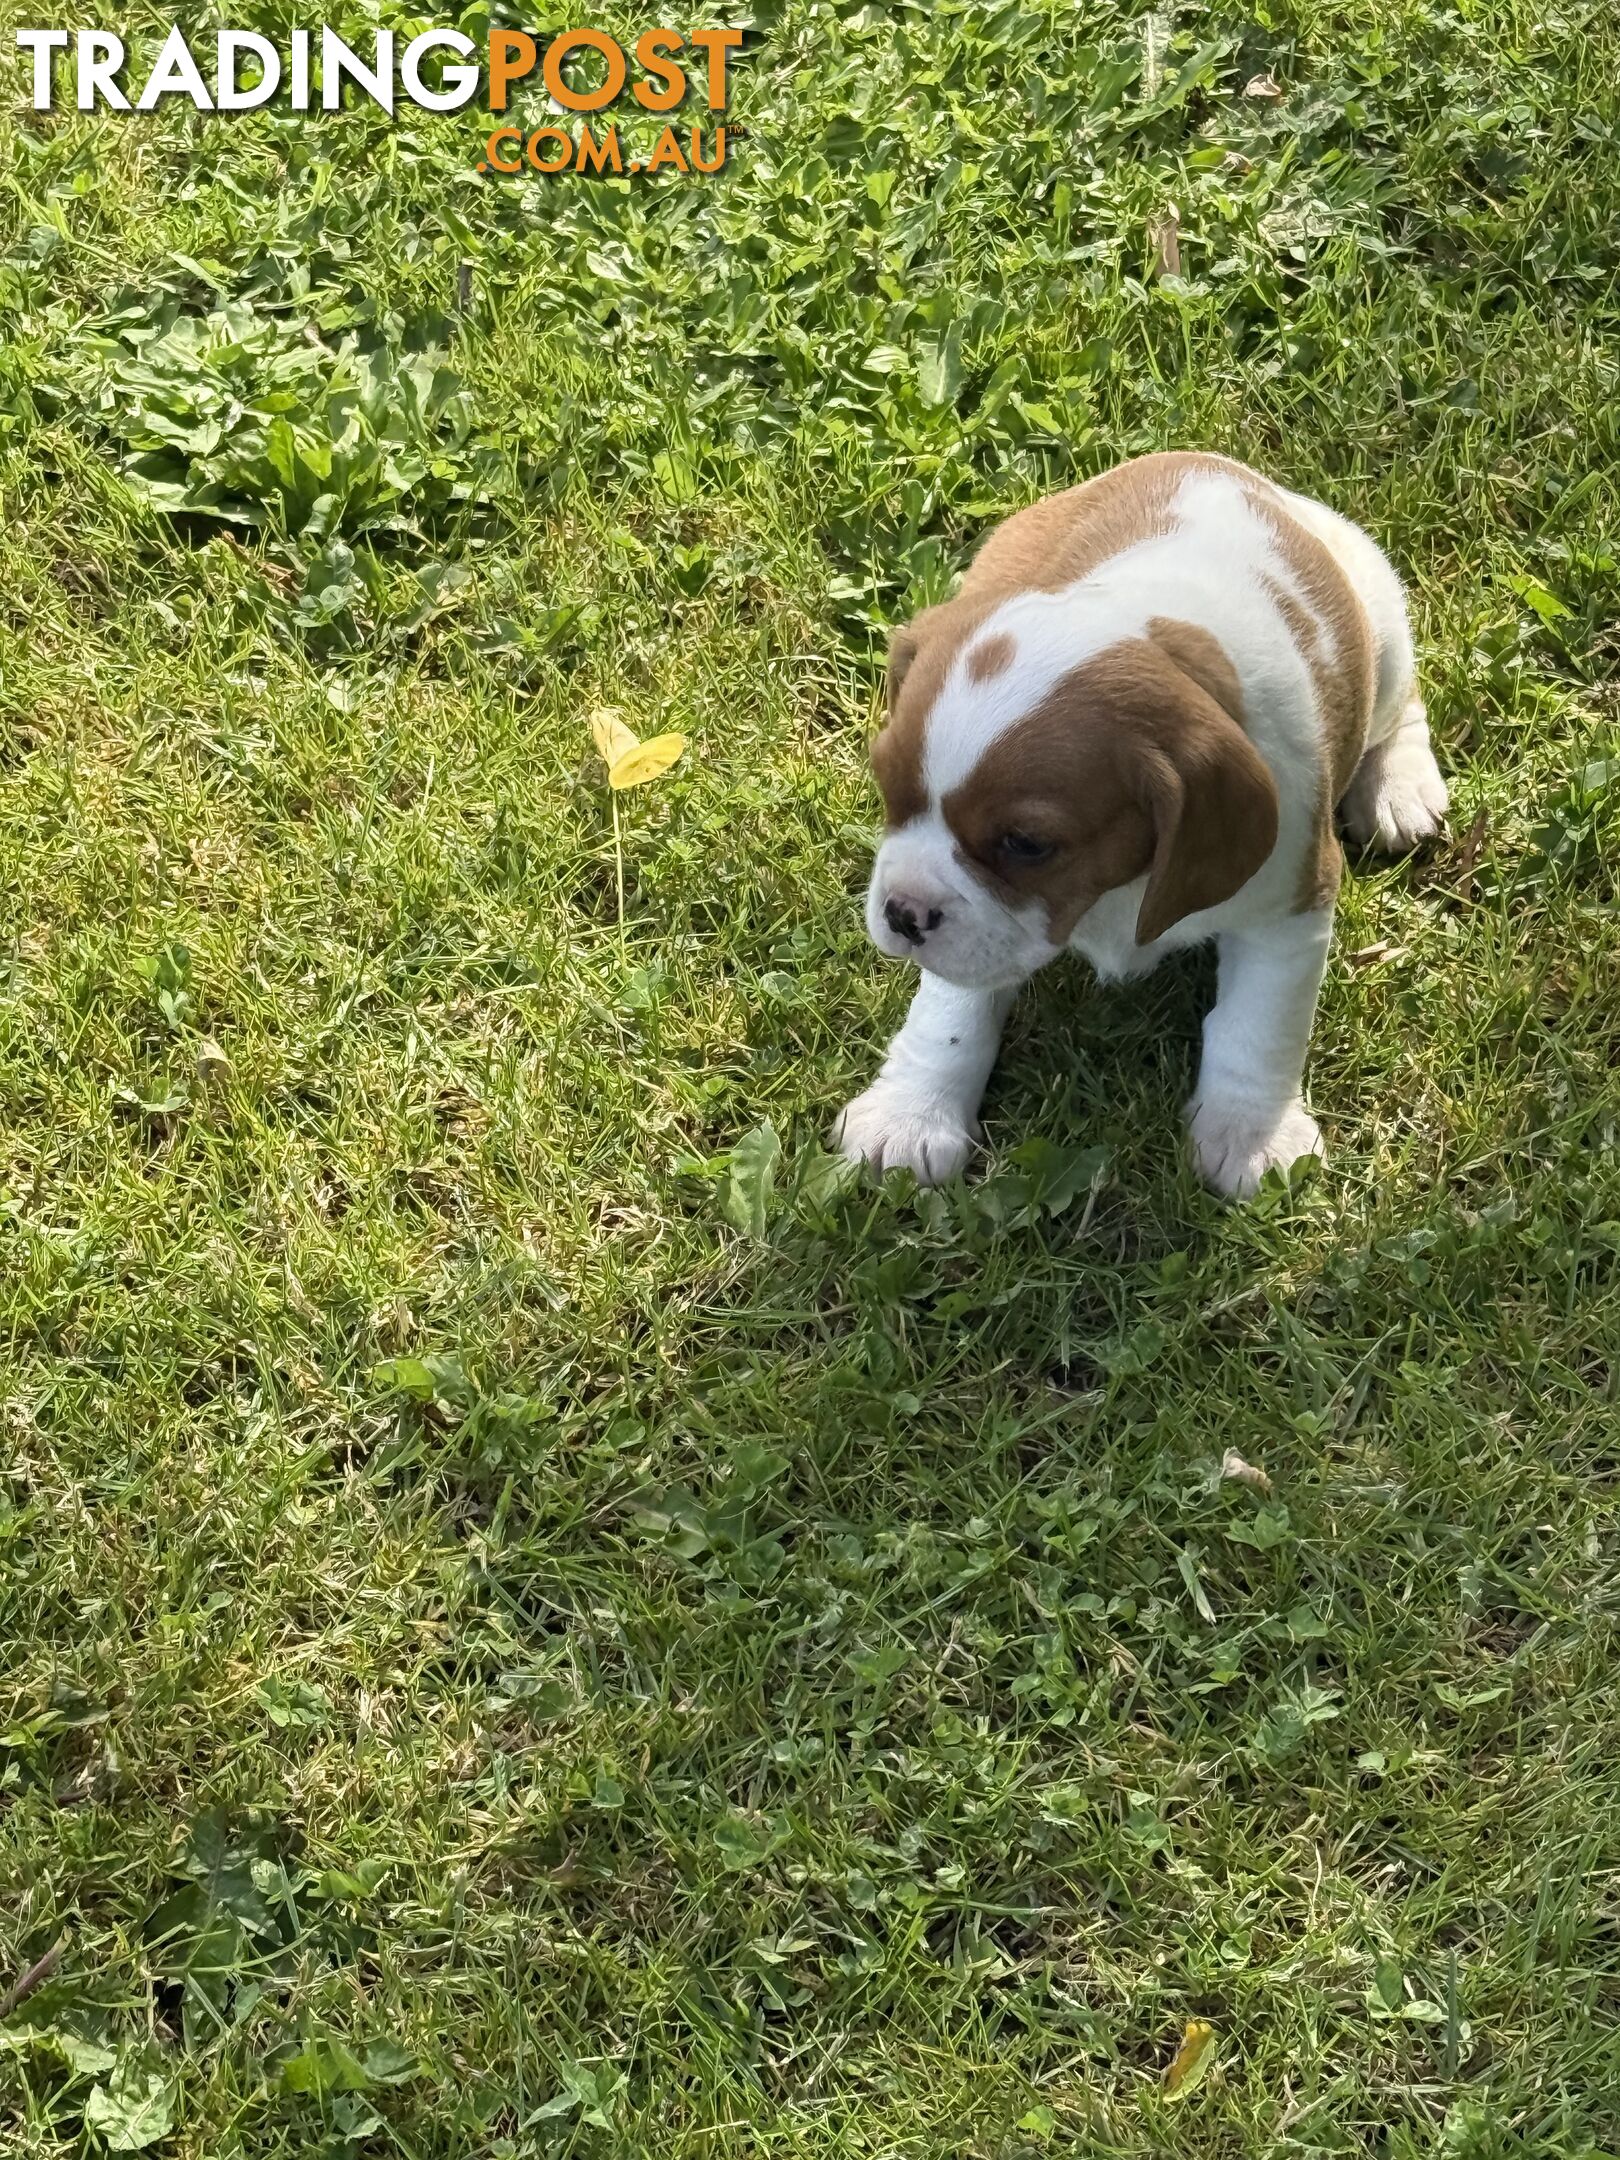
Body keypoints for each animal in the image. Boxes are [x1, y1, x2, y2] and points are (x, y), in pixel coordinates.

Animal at [838, 453, 1442, 1200]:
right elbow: (951, 1012)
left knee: (1403, 702)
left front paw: (1250, 1134)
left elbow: (1259, 1024)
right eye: (886, 789)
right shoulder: (976, 935)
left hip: (1381, 628)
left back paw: (1399, 787)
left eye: (1027, 845)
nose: (902, 912)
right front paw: (912, 1112)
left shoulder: (1289, 907)